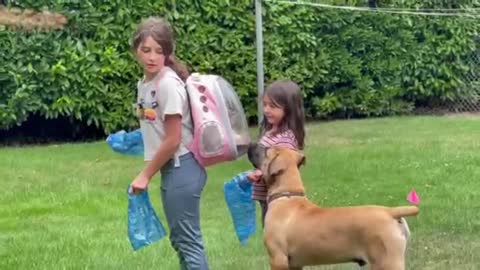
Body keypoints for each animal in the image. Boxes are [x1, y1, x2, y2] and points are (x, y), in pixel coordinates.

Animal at [248, 144, 420, 270]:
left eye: (266, 150)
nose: (250, 144)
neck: (288, 194)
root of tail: (390, 211)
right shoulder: (295, 264)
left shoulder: (278, 259)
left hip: (386, 262)